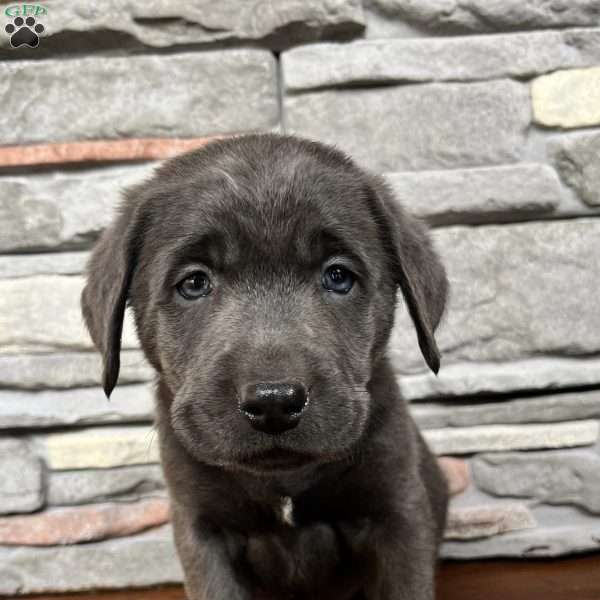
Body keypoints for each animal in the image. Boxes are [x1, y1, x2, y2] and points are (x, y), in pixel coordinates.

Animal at [79, 135, 448, 600]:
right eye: (194, 283)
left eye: (338, 277)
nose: (274, 402)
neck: (282, 483)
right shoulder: (202, 529)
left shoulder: (398, 511)